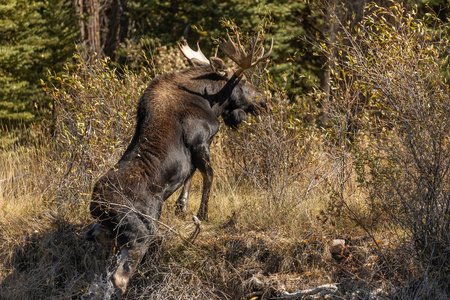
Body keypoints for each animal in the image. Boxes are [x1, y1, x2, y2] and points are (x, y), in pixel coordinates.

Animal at [85, 32, 272, 296]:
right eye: (243, 80)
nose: (265, 101)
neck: (210, 101)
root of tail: (98, 203)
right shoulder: (200, 140)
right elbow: (208, 175)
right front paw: (202, 213)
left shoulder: (192, 152)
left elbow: (189, 174)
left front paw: (181, 208)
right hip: (141, 229)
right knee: (119, 277)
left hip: (106, 227)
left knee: (93, 236)